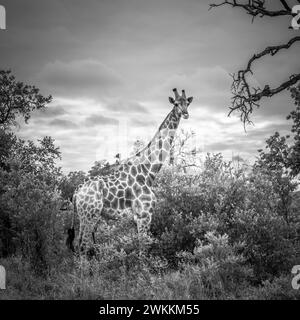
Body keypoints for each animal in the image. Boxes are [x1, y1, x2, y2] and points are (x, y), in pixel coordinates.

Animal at [68, 89, 193, 256]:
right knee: (83, 246)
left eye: (187, 103)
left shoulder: (138, 217)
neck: (148, 171)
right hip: (90, 216)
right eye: (176, 103)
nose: (185, 113)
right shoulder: (144, 215)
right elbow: (143, 249)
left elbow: (142, 247)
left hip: (83, 217)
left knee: (78, 245)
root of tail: (76, 192)